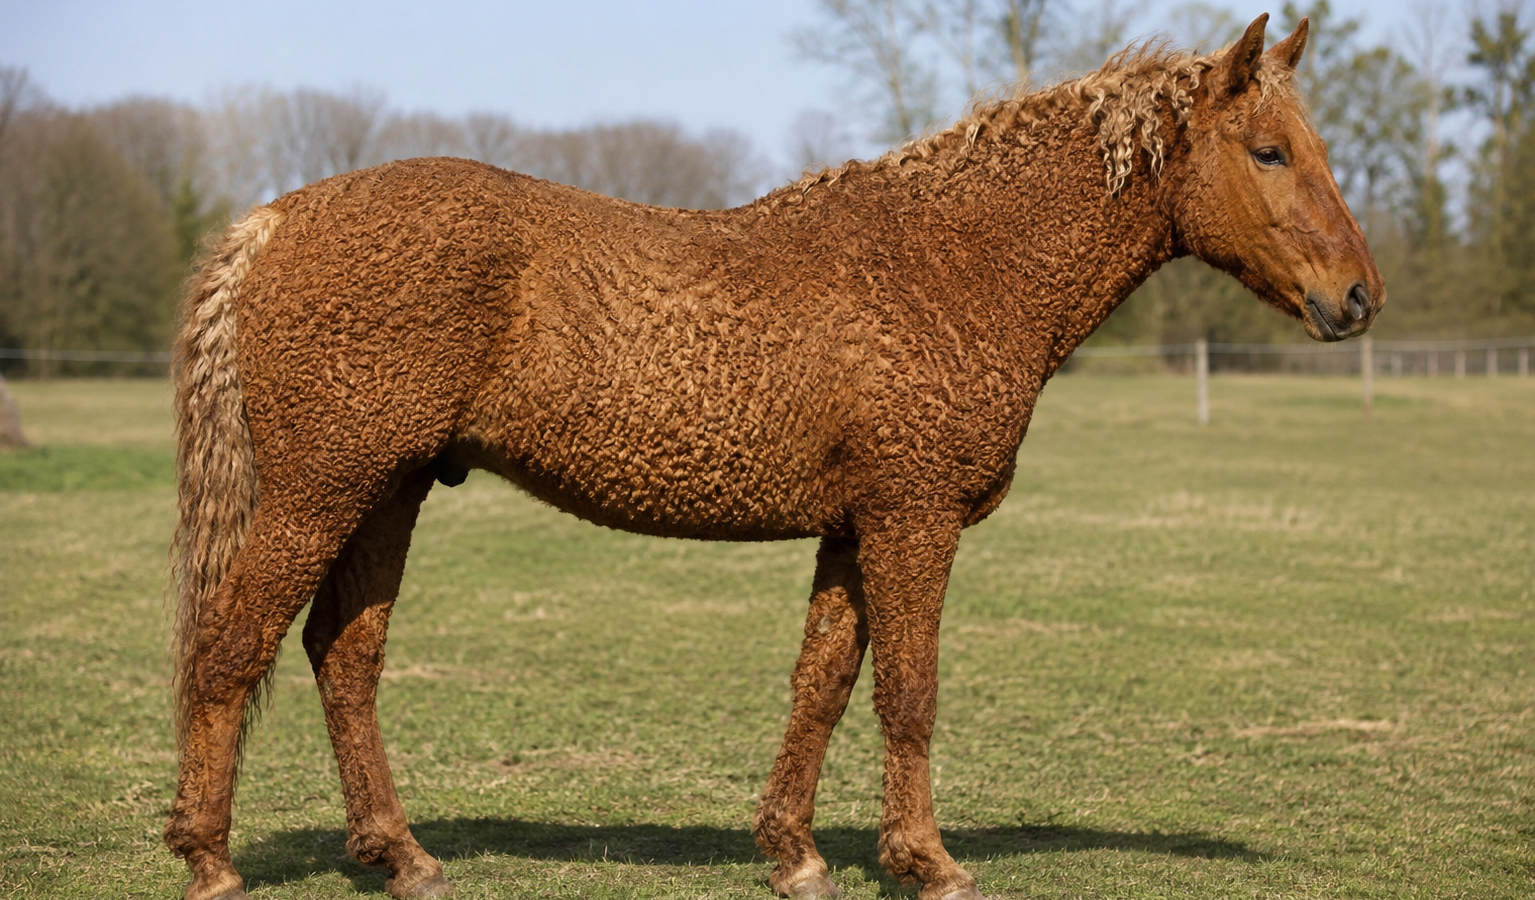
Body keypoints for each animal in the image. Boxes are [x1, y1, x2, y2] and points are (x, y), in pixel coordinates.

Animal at [164, 15, 1380, 900]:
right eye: (1269, 151)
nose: (1357, 298)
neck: (953, 261)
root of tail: (274, 220)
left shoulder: (853, 526)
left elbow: (822, 685)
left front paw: (793, 854)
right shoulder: (910, 516)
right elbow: (907, 691)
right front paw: (927, 863)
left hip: (388, 491)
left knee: (342, 658)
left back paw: (401, 856)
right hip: (322, 491)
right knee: (231, 647)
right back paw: (211, 862)